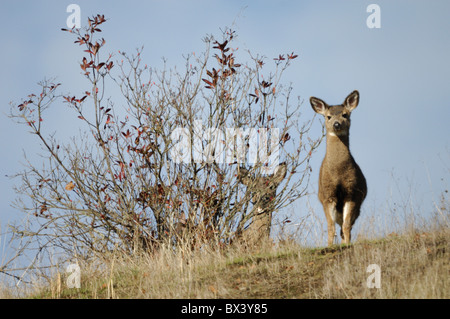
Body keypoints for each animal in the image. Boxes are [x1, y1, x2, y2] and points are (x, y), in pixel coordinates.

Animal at [312, 91, 368, 246]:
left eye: (345, 114)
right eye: (328, 116)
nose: (336, 124)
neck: (338, 173)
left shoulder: (352, 192)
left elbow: (346, 225)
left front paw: (346, 244)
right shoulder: (327, 195)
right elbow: (330, 226)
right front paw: (329, 246)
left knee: (344, 226)